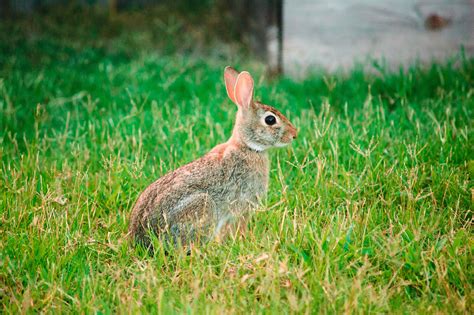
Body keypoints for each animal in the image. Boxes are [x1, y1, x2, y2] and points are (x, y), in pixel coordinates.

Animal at [129, 67, 296, 252]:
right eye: (270, 119)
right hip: (202, 207)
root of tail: (142, 241)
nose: (294, 134)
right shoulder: (242, 207)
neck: (247, 146)